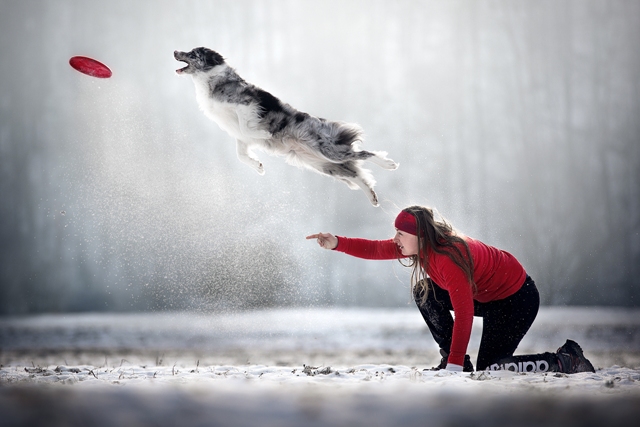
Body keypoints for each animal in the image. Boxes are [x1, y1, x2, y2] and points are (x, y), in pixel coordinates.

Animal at [172, 47, 398, 207]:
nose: (174, 51)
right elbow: (241, 155)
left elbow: (247, 127)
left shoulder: (246, 105)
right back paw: (372, 197)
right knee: (356, 175)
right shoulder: (241, 139)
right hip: (325, 166)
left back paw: (389, 164)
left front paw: (264, 133)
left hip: (329, 151)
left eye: (193, 53)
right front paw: (258, 166)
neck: (210, 80)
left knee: (364, 153)